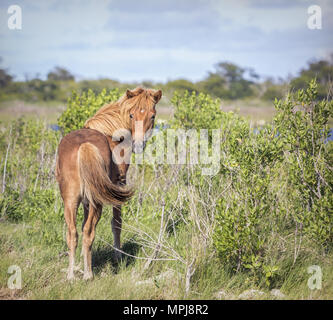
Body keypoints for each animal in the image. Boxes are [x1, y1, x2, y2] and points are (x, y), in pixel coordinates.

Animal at [55, 87, 161, 280]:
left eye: (152, 116)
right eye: (132, 115)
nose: (138, 145)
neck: (112, 135)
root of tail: (84, 146)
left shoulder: (86, 200)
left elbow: (82, 226)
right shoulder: (118, 185)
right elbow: (116, 222)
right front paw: (118, 257)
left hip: (70, 201)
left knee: (73, 233)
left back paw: (72, 275)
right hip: (97, 202)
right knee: (89, 232)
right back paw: (88, 275)